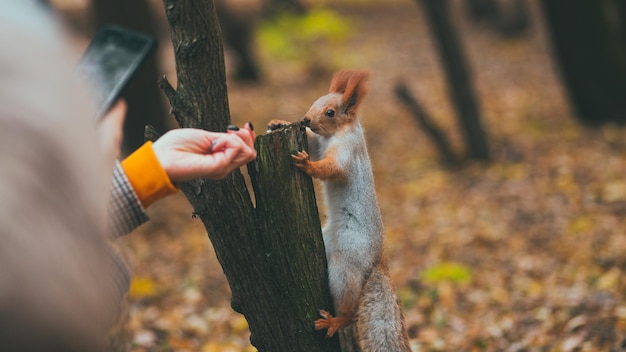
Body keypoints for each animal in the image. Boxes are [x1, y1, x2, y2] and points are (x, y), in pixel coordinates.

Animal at [266, 70, 410, 350]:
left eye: (331, 112)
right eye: (315, 100)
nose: (306, 119)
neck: (337, 132)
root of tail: (378, 259)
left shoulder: (346, 149)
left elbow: (332, 167)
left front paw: (307, 165)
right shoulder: (318, 142)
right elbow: (311, 143)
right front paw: (278, 123)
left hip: (346, 265)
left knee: (351, 310)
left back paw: (335, 321)